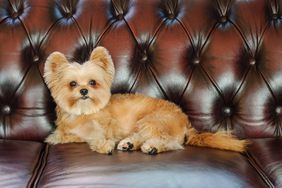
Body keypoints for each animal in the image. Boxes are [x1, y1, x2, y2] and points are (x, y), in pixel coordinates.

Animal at [43, 46, 248, 154]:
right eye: (72, 84)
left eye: (93, 82)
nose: (84, 90)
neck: (84, 112)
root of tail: (186, 122)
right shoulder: (62, 133)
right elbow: (63, 136)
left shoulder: (107, 127)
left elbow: (98, 135)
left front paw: (104, 144)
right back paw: (129, 144)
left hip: (153, 120)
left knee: (169, 142)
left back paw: (151, 147)